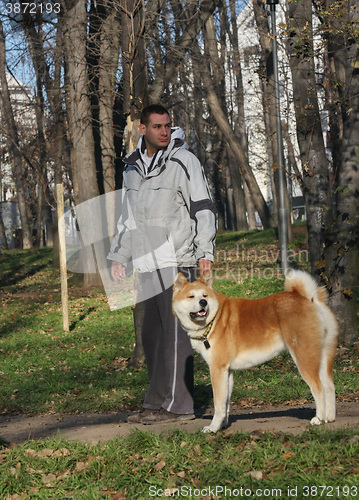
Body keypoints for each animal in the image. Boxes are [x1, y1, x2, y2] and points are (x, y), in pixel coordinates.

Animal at [173, 270, 338, 434]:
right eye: (191, 296)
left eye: (204, 296)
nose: (203, 302)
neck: (214, 319)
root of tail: (310, 299)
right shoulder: (227, 371)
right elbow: (226, 403)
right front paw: (223, 425)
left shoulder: (217, 369)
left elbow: (218, 404)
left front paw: (213, 428)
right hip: (322, 357)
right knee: (329, 386)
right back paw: (329, 418)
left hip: (304, 357)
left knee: (319, 388)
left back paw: (318, 419)